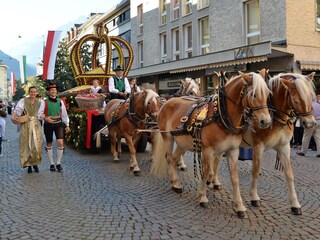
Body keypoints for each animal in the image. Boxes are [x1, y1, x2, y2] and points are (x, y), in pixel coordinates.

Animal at [151, 71, 272, 218]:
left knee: (174, 159)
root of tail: (167, 102)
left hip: (182, 142)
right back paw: (177, 184)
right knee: (168, 158)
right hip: (168, 137)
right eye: (253, 94)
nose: (266, 121)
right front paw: (202, 197)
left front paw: (239, 206)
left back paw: (175, 181)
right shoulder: (207, 150)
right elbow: (205, 170)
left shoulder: (232, 150)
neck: (221, 115)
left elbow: (234, 178)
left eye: (267, 93)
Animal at [209, 72, 316, 215]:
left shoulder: (284, 147)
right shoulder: (258, 147)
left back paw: (215, 181)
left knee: (216, 159)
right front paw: (254, 197)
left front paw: (295, 204)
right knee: (215, 159)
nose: (310, 123)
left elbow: (289, 174)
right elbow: (256, 170)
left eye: (311, 97)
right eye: (296, 100)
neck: (274, 117)